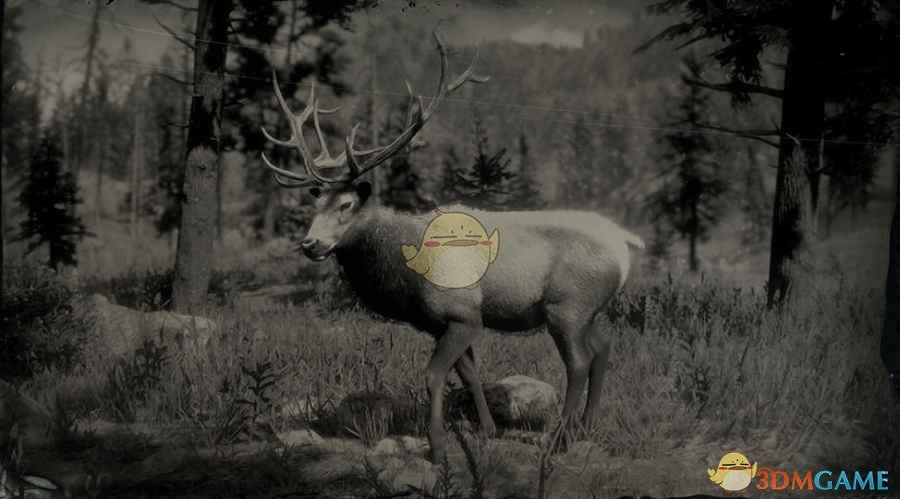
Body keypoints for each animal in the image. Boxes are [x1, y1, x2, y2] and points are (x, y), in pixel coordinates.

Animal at [259, 31, 645, 463]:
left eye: (345, 205)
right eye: (315, 204)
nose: (310, 243)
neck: (404, 274)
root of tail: (624, 244)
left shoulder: (462, 313)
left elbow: (433, 375)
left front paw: (439, 447)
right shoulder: (439, 322)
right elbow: (469, 372)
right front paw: (487, 429)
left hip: (568, 305)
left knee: (578, 362)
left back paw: (558, 439)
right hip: (589, 310)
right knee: (603, 347)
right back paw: (586, 426)